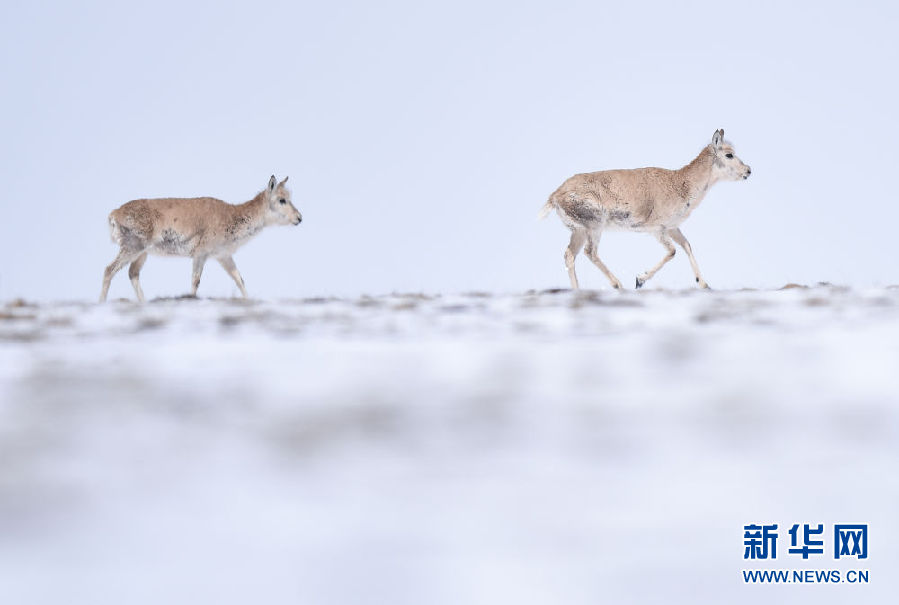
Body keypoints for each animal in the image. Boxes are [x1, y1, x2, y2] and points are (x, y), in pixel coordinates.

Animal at [100, 175, 302, 302]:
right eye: (282, 200)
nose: (299, 217)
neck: (232, 216)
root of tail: (114, 213)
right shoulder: (200, 254)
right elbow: (195, 281)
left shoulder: (223, 256)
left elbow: (239, 279)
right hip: (133, 247)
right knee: (109, 269)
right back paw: (102, 301)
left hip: (142, 253)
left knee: (132, 273)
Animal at [539, 129, 750, 289]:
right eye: (729, 154)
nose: (748, 170)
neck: (681, 183)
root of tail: (555, 195)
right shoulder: (656, 229)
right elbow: (673, 251)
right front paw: (639, 280)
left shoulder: (672, 228)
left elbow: (687, 246)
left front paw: (704, 284)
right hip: (594, 227)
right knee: (589, 252)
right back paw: (618, 285)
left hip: (579, 231)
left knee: (570, 255)